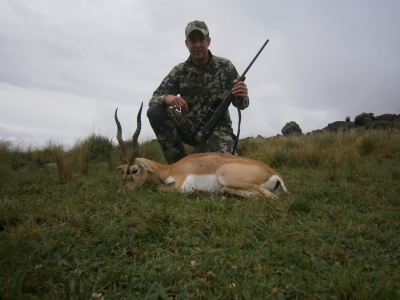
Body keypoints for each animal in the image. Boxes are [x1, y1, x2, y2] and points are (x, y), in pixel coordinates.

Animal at [115, 104, 288, 198]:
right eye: (122, 171)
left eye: (135, 170)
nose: (122, 191)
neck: (169, 169)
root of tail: (274, 174)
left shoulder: (180, 185)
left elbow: (159, 188)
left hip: (226, 176)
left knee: (270, 197)